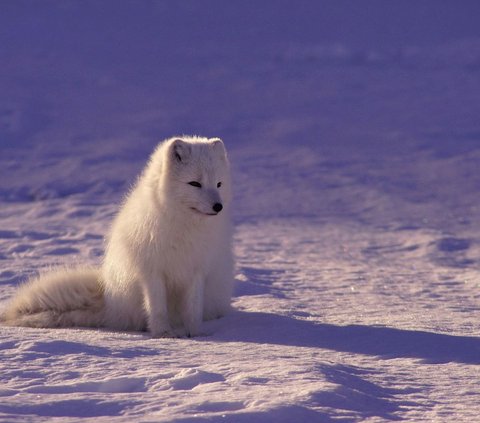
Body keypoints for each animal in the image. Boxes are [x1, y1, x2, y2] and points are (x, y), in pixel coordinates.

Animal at [1, 137, 234, 338]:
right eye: (195, 183)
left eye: (219, 184)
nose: (218, 207)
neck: (184, 226)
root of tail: (109, 301)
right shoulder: (151, 271)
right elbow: (157, 307)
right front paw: (164, 334)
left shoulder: (197, 270)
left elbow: (193, 309)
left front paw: (195, 334)